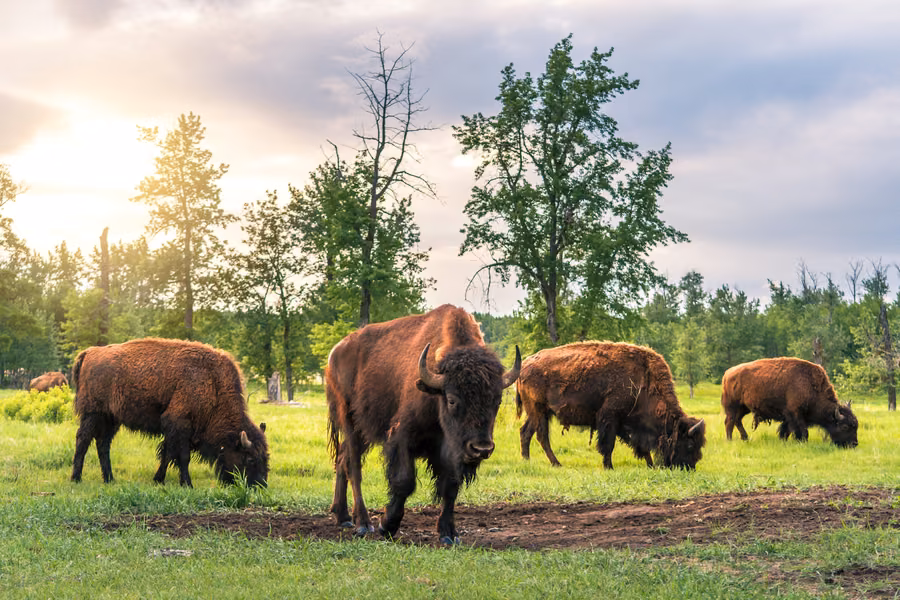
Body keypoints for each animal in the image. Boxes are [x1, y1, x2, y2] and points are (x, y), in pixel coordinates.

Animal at [71, 338, 269, 487]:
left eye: (265, 457)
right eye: (250, 459)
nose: (260, 485)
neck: (213, 383)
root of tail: (89, 353)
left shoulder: (174, 430)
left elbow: (167, 454)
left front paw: (158, 479)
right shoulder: (179, 423)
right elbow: (182, 456)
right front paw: (187, 484)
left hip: (111, 418)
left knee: (103, 444)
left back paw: (110, 479)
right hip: (92, 413)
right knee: (83, 439)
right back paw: (76, 478)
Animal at [326, 304, 521, 544]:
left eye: (497, 400)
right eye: (452, 399)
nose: (481, 448)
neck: (435, 394)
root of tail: (335, 353)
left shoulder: (452, 450)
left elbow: (450, 487)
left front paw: (448, 534)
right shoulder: (402, 438)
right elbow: (404, 481)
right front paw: (386, 525)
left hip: (365, 431)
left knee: (341, 459)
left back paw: (343, 517)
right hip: (349, 421)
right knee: (353, 467)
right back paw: (363, 523)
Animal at [516, 341, 706, 470]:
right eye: (689, 445)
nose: (689, 468)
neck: (645, 381)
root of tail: (524, 365)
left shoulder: (625, 424)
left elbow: (640, 446)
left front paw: (650, 465)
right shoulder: (610, 418)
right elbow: (608, 444)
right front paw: (609, 467)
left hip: (539, 412)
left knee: (526, 432)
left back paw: (527, 460)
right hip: (538, 411)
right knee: (541, 436)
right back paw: (555, 463)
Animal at [721, 357, 858, 447]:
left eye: (856, 426)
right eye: (845, 426)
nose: (854, 444)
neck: (811, 386)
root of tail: (728, 373)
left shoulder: (788, 416)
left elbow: (785, 430)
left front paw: (783, 441)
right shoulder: (796, 413)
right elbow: (803, 431)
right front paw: (802, 442)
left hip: (744, 408)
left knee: (737, 420)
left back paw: (745, 438)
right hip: (733, 406)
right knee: (730, 421)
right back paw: (730, 440)